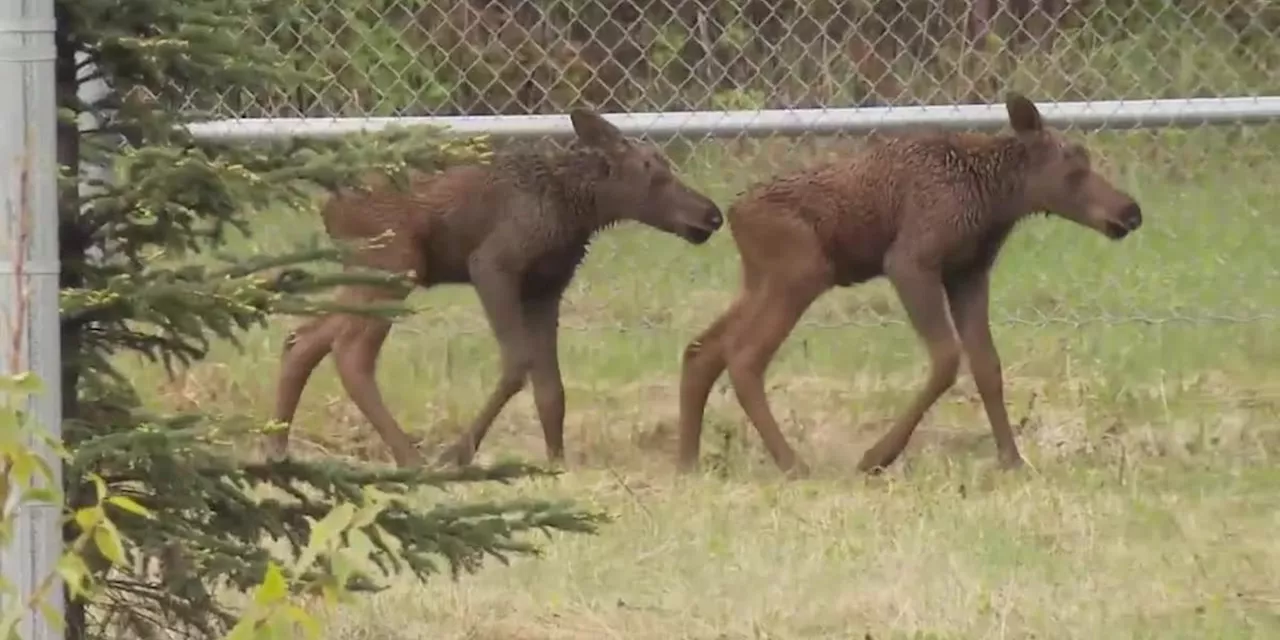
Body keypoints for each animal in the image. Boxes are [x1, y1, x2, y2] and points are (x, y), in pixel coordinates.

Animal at [267, 110, 732, 468]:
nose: (711, 215)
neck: (573, 208)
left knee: (302, 338)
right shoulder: (492, 265)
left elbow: (551, 387)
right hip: (396, 265)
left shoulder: (546, 288)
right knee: (349, 351)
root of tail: (326, 207)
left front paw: (557, 462)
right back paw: (411, 458)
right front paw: (457, 454)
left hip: (368, 272)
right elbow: (517, 364)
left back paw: (277, 449)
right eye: (653, 173)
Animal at [675, 93, 1146, 476]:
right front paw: (876, 457)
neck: (993, 203)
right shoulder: (910, 261)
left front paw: (1012, 460)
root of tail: (733, 217)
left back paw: (689, 461)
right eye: (1073, 167)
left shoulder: (968, 273)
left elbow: (987, 365)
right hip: (802, 272)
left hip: (761, 279)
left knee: (702, 349)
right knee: (743, 356)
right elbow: (947, 358)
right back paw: (793, 465)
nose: (1131, 211)